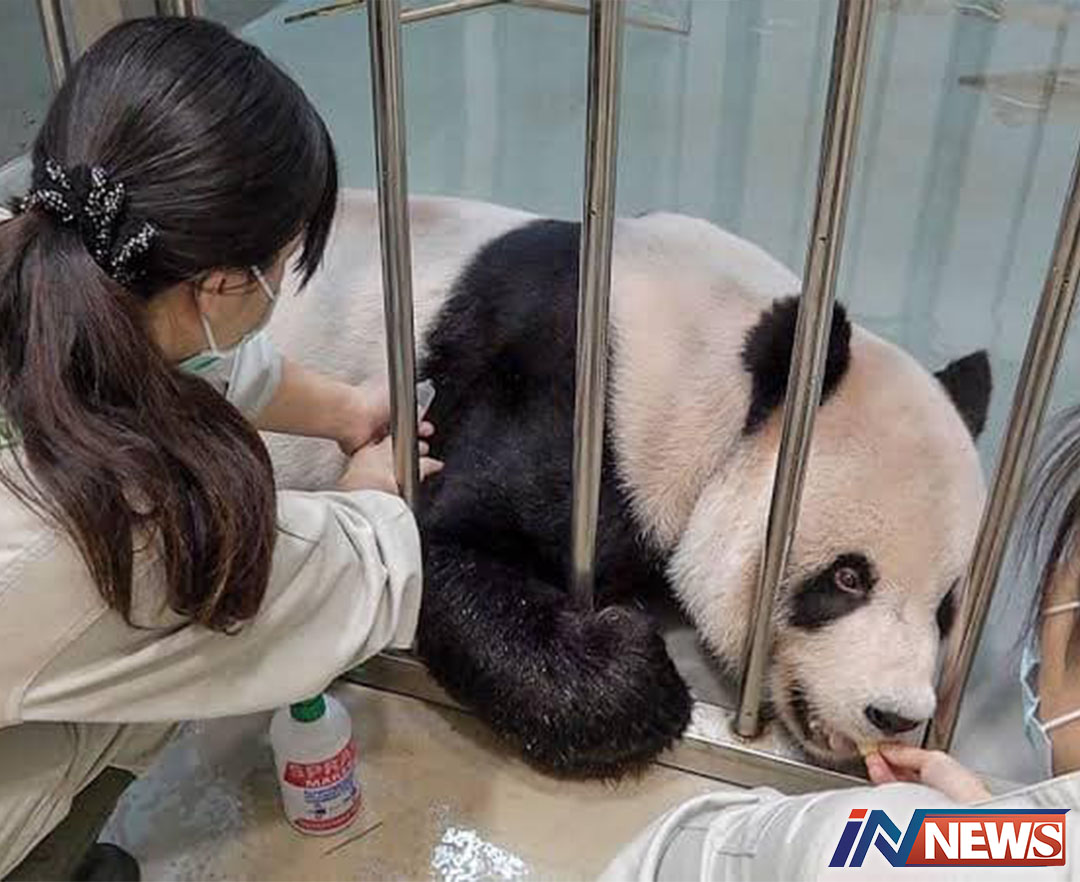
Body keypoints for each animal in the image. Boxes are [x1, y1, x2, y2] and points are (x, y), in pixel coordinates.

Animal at [266, 189, 991, 778]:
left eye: (947, 607)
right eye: (846, 578)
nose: (896, 714)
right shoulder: (572, 405)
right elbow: (435, 544)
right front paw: (638, 664)